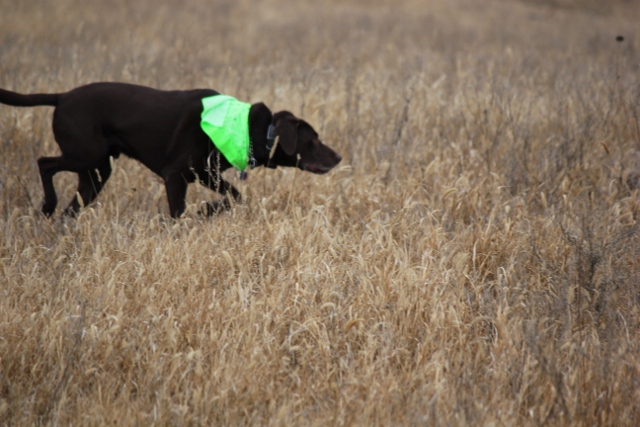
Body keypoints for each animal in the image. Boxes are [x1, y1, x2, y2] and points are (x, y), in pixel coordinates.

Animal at [0, 82, 341, 218]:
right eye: (313, 140)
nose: (338, 157)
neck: (245, 127)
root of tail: (62, 97)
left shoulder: (205, 173)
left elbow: (235, 196)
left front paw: (207, 210)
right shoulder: (175, 175)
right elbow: (179, 212)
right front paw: (198, 215)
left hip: (96, 172)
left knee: (73, 203)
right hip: (87, 155)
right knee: (44, 163)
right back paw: (47, 205)